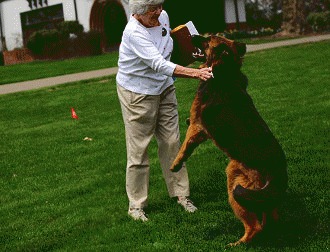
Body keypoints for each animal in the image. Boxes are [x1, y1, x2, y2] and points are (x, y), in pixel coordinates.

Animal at [171, 35, 288, 246]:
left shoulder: (197, 125)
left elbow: (185, 146)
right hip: (260, 197)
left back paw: (237, 244)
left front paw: (175, 165)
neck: (226, 67)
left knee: (255, 227)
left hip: (234, 180)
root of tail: (277, 169)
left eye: (208, 39)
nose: (193, 36)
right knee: (269, 217)